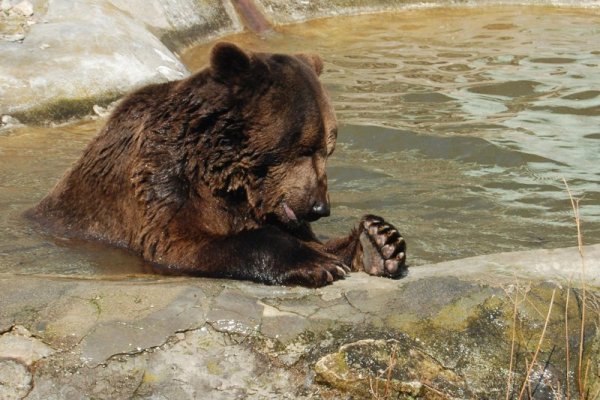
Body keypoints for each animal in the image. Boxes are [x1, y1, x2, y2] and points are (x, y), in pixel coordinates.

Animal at [25, 43, 406, 288]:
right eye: (304, 147)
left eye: (329, 149)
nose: (319, 207)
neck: (224, 172)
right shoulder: (162, 176)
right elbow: (180, 240)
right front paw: (317, 264)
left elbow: (313, 239)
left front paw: (380, 241)